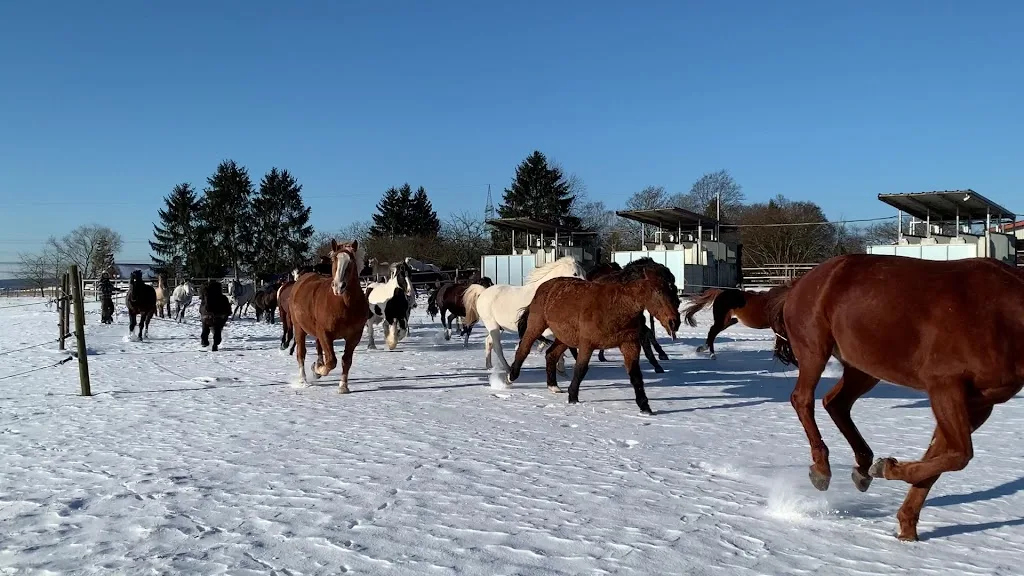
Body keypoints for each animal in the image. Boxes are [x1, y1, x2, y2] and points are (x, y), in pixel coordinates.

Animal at [287, 239, 369, 392]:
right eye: (334, 259)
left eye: (351, 260)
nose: (339, 286)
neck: (344, 304)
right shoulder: (325, 334)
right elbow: (331, 361)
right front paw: (318, 369)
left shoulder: (354, 336)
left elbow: (346, 360)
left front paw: (343, 387)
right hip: (299, 328)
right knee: (301, 354)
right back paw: (304, 380)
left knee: (318, 349)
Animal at [507, 268, 682, 414]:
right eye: (658, 292)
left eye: (674, 294)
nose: (674, 322)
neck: (616, 306)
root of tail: (544, 286)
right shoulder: (587, 344)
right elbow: (581, 369)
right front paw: (573, 398)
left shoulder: (629, 345)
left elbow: (635, 375)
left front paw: (645, 406)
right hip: (536, 325)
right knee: (524, 348)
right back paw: (511, 376)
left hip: (565, 338)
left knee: (551, 354)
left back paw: (553, 386)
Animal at [764, 253, 1024, 542]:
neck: (1001, 314)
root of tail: (800, 282)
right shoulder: (945, 387)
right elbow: (959, 456)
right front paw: (887, 468)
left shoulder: (979, 404)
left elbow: (940, 458)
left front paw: (907, 528)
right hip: (814, 352)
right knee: (803, 399)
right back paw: (823, 468)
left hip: (864, 368)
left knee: (836, 403)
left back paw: (863, 466)